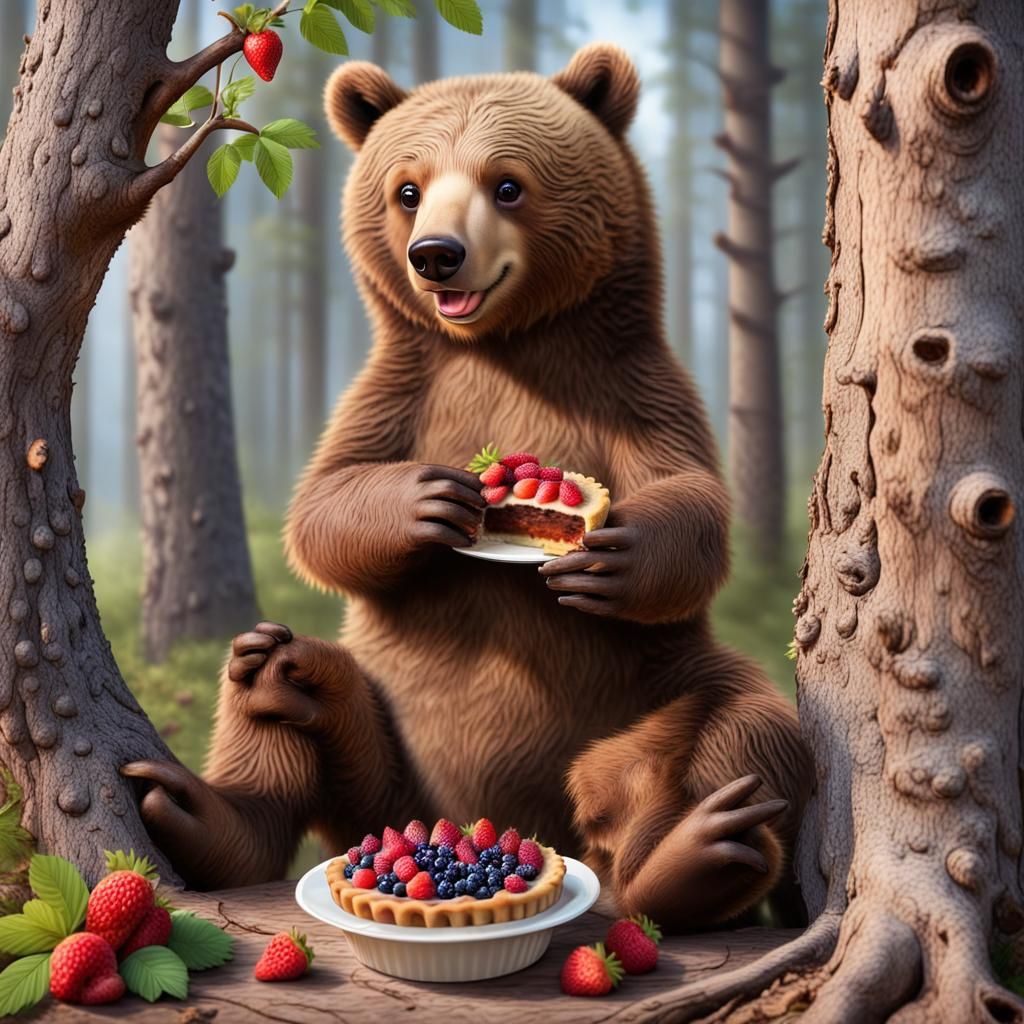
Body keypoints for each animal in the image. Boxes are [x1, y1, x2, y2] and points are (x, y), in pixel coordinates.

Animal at [123, 43, 812, 929]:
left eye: (507, 183)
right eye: (407, 189)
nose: (436, 254)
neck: (502, 343)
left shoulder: (630, 386)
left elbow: (690, 503)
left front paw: (613, 557)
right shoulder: (403, 386)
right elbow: (325, 503)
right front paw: (428, 504)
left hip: (652, 692)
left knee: (740, 729)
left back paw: (695, 857)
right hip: (384, 761)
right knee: (277, 692)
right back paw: (210, 792)